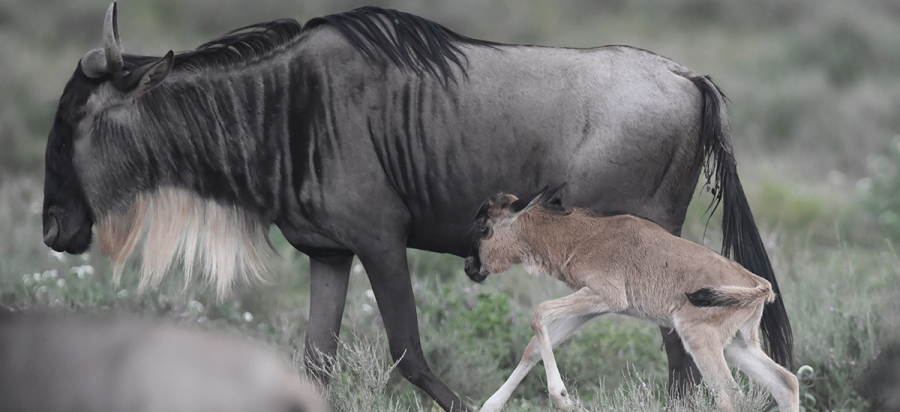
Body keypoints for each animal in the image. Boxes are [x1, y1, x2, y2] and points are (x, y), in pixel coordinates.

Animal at [464, 184, 799, 412]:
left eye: (484, 227)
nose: (469, 267)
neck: (582, 235)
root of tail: (758, 284)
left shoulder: (607, 297)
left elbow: (539, 312)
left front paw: (562, 398)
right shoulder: (592, 306)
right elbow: (533, 346)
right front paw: (489, 406)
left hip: (700, 338)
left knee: (730, 396)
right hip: (736, 345)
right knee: (786, 382)